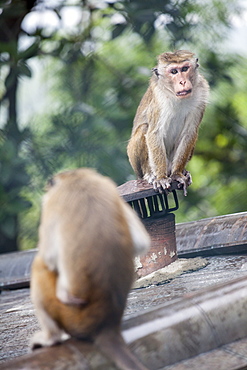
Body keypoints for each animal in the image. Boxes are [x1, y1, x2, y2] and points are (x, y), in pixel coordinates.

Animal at [30, 168, 151, 370]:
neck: (76, 178)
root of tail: (106, 325)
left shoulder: (52, 201)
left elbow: (48, 258)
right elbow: (141, 243)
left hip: (71, 317)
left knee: (39, 267)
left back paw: (51, 338)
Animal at [126, 51, 209, 198]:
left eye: (184, 69)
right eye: (174, 71)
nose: (182, 82)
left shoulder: (201, 92)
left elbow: (189, 133)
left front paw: (177, 174)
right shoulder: (159, 98)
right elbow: (154, 133)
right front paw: (160, 178)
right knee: (144, 128)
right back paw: (150, 174)